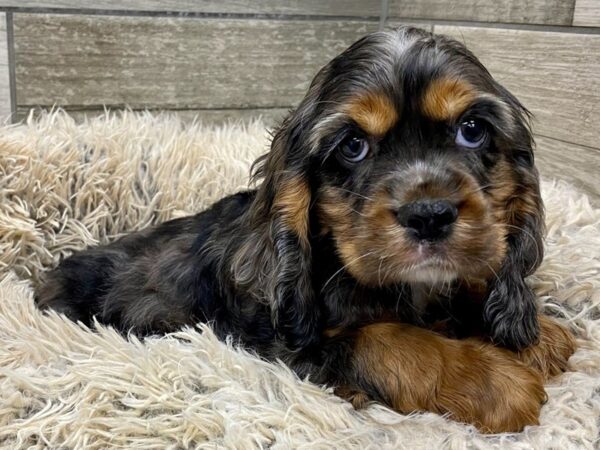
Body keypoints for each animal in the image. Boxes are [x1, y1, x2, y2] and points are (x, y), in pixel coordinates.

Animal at [34, 25, 576, 432]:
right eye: (353, 145)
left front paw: (537, 333)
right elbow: (392, 342)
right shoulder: (284, 346)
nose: (429, 215)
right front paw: (493, 380)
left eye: (472, 130)